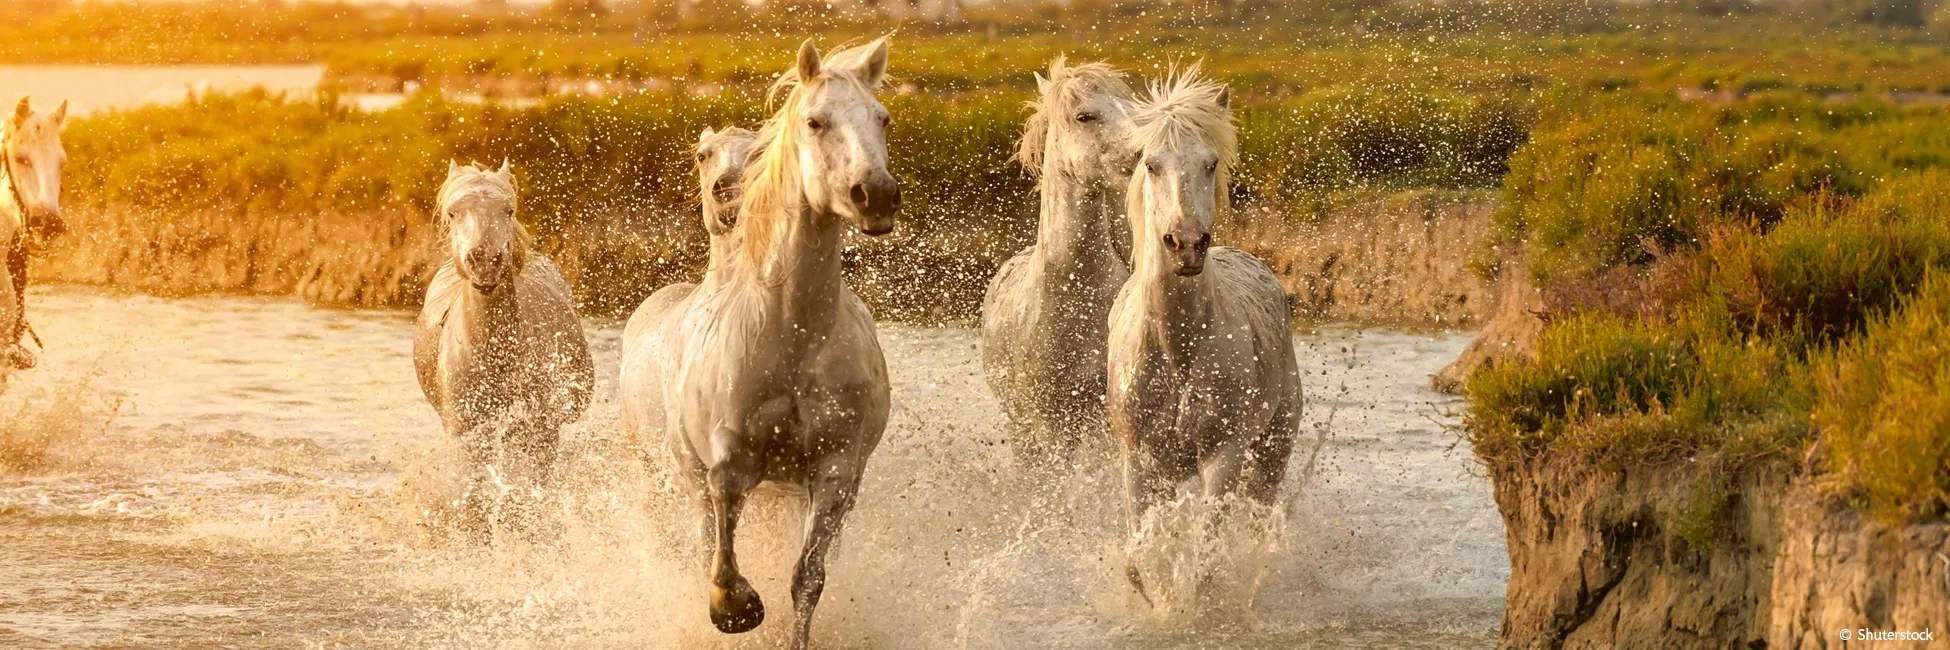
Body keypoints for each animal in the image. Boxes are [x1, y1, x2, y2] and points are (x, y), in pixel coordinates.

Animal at [411, 159, 592, 538]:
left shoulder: (540, 430)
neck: (493, 353)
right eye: (453, 213)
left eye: (508, 210)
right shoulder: (465, 433)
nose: (485, 261)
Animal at [635, 40, 900, 648]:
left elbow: (807, 579)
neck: (793, 338)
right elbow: (724, 572)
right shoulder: (728, 468)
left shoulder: (835, 473)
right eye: (815, 121)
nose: (876, 195)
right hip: (686, 473)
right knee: (704, 543)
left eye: (882, 119)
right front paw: (738, 612)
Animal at [975, 56, 1138, 466]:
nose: (1145, 155)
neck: (1074, 293)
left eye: (1132, 107)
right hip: (1021, 429)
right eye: (1084, 116)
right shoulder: (1050, 425)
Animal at [1107, 64, 1302, 601]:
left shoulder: (1224, 456)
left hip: (1271, 452)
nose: (1187, 245)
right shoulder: (1139, 461)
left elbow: (1206, 563)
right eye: (1150, 163)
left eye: (1211, 162)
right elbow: (1138, 564)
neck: (1178, 351)